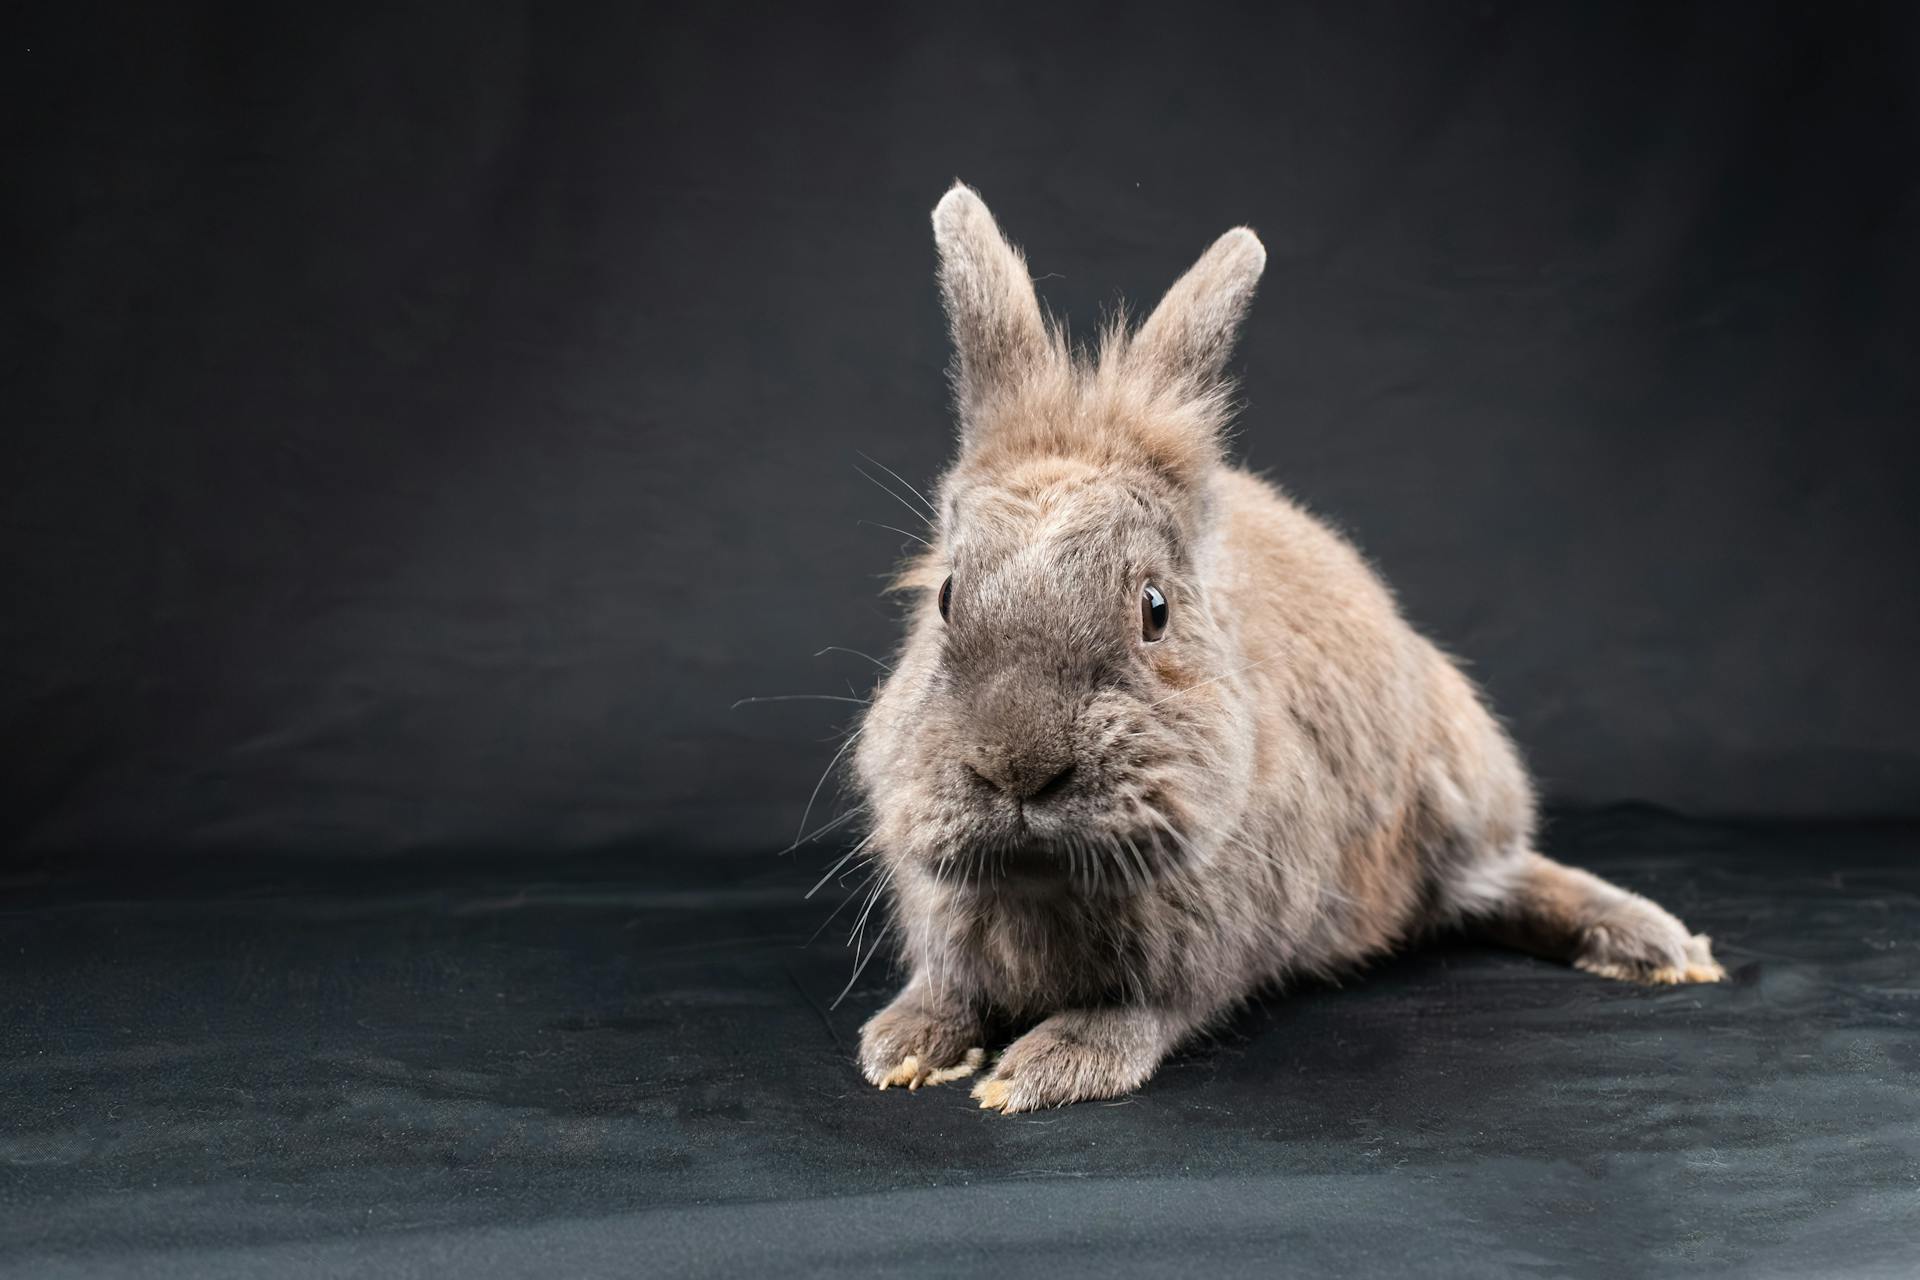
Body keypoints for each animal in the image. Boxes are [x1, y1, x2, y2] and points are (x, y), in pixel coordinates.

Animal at [848, 180, 1720, 1113]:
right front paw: (903, 1046)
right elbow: (945, 987)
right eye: (945, 596)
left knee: (1501, 876)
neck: (1043, 880)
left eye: (1155, 608)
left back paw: (1657, 947)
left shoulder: (1215, 941)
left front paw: (1046, 1068)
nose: (1019, 768)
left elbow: (1146, 1010)